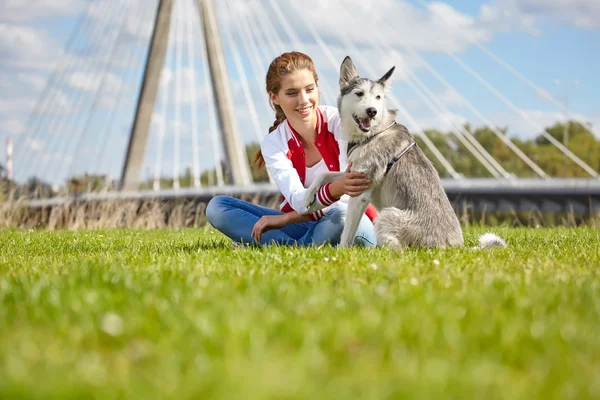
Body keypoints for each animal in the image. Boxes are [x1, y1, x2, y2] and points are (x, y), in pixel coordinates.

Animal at [304, 55, 506, 250]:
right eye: (359, 94)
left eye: (378, 97)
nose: (372, 111)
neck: (374, 133)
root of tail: (455, 247)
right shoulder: (351, 175)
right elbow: (325, 174)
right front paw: (308, 197)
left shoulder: (360, 193)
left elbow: (347, 234)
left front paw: (341, 253)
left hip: (386, 216)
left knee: (398, 251)